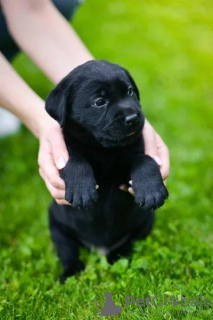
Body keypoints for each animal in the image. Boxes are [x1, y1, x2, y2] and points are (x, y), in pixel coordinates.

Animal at [45, 60, 168, 282]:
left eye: (129, 91)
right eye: (99, 102)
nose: (133, 117)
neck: (104, 149)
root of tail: (99, 249)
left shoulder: (131, 161)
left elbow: (145, 160)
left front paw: (151, 190)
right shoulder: (64, 152)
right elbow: (75, 160)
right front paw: (81, 191)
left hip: (144, 223)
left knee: (128, 245)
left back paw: (119, 260)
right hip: (57, 225)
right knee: (67, 251)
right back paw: (71, 273)